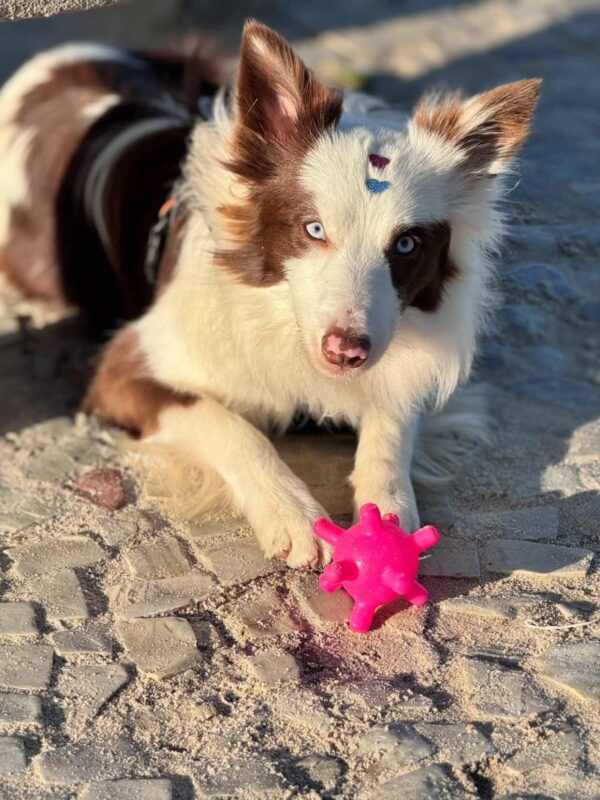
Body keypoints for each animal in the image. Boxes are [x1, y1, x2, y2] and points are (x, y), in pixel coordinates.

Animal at [0, 21, 540, 568]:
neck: (279, 317)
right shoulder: (126, 370)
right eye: (314, 228)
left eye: (407, 244)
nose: (345, 351)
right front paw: (293, 514)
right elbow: (228, 423)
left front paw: (388, 510)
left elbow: (391, 418)